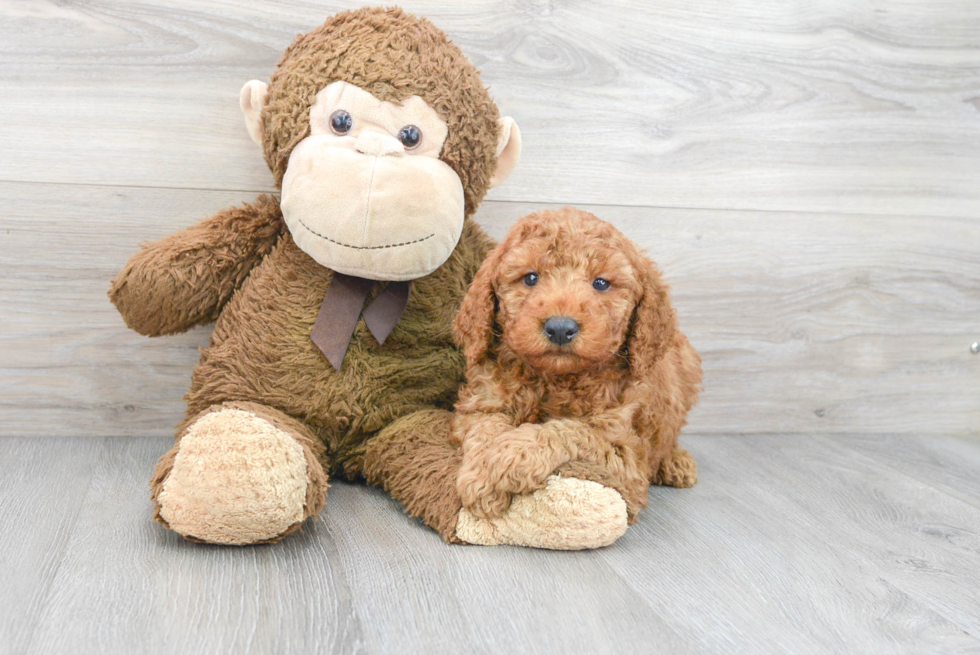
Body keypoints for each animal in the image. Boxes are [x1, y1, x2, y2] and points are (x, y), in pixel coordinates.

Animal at [456, 208, 700, 532]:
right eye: (530, 278)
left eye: (601, 283)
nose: (560, 328)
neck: (556, 378)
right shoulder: (482, 402)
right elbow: (484, 429)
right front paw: (482, 475)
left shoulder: (625, 456)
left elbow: (569, 430)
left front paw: (509, 456)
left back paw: (676, 462)